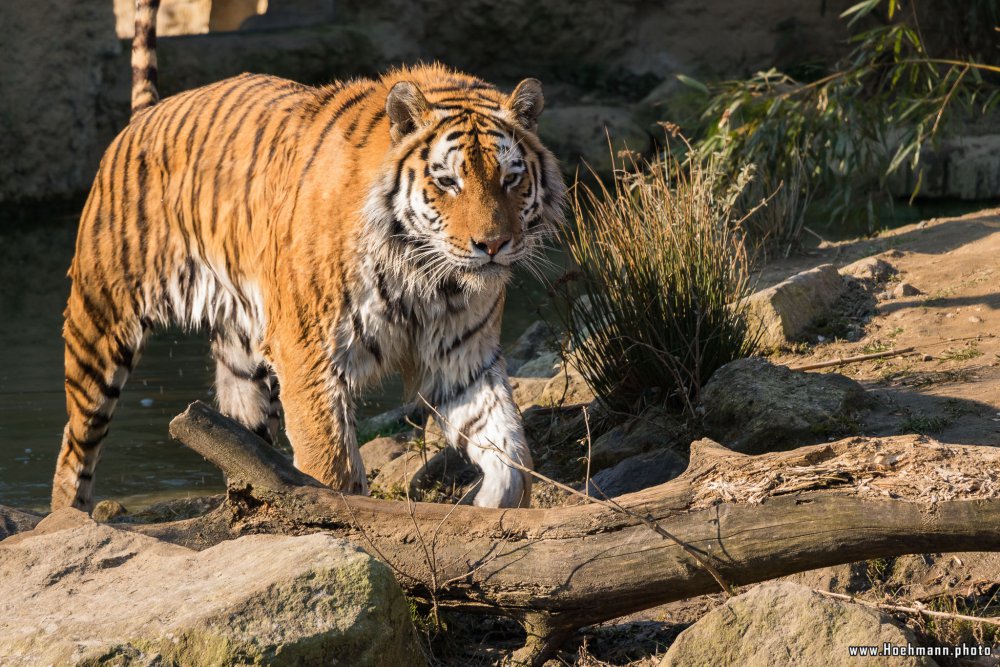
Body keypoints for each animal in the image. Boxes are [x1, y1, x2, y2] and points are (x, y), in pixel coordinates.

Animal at [50, 0, 568, 512]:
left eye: (510, 179)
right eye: (447, 182)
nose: (493, 245)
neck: (422, 271)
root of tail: (146, 115)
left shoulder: (463, 357)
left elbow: (508, 447)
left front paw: (493, 505)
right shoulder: (309, 354)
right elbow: (330, 465)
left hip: (242, 360)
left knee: (240, 441)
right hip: (101, 323)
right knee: (74, 451)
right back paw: (68, 517)